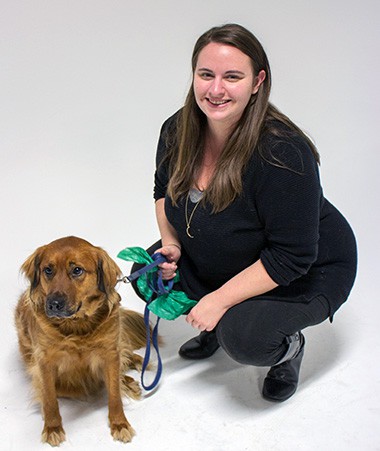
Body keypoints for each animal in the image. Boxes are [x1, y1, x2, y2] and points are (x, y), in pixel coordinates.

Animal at [15, 238, 148, 446]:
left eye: (77, 270)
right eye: (48, 270)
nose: (53, 304)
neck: (76, 326)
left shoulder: (110, 352)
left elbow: (114, 393)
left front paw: (120, 424)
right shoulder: (44, 362)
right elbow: (49, 398)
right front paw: (52, 428)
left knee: (125, 354)